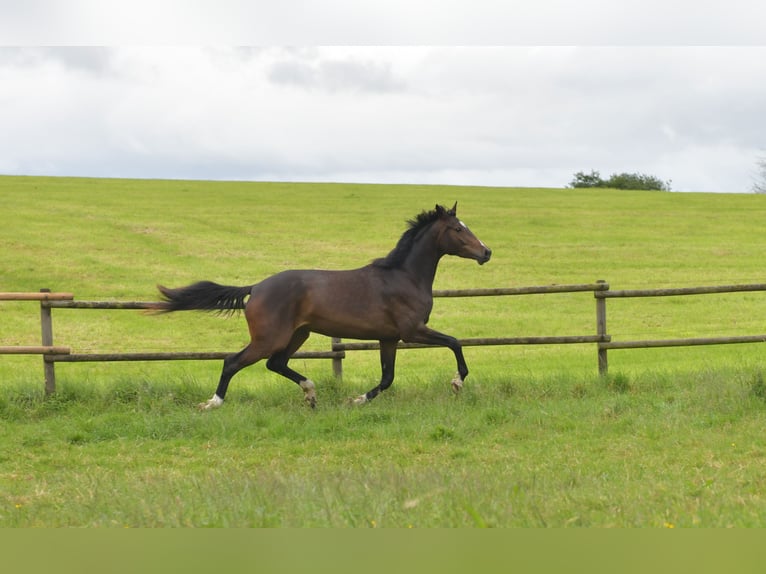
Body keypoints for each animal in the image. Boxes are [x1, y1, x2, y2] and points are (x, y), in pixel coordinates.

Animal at [155, 204, 492, 410]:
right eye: (458, 229)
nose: (486, 252)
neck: (404, 275)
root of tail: (256, 287)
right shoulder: (412, 331)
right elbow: (454, 342)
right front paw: (457, 382)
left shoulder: (389, 337)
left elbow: (387, 377)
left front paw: (356, 400)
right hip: (269, 338)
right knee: (232, 362)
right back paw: (212, 403)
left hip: (297, 335)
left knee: (275, 364)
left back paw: (311, 394)